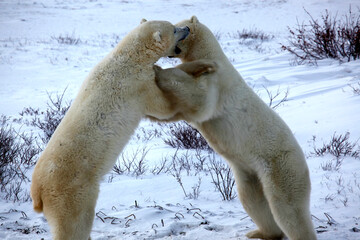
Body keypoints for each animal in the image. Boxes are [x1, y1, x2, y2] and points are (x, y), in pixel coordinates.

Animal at [30, 19, 191, 240]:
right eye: (175, 29)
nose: (188, 28)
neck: (129, 57)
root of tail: (38, 191)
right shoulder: (138, 85)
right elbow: (162, 108)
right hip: (72, 193)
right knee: (74, 225)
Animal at [155, 15, 318, 239]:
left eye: (179, 28)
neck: (210, 53)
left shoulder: (217, 81)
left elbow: (200, 98)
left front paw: (159, 72)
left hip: (281, 167)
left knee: (288, 207)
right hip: (248, 171)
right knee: (253, 200)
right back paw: (259, 232)